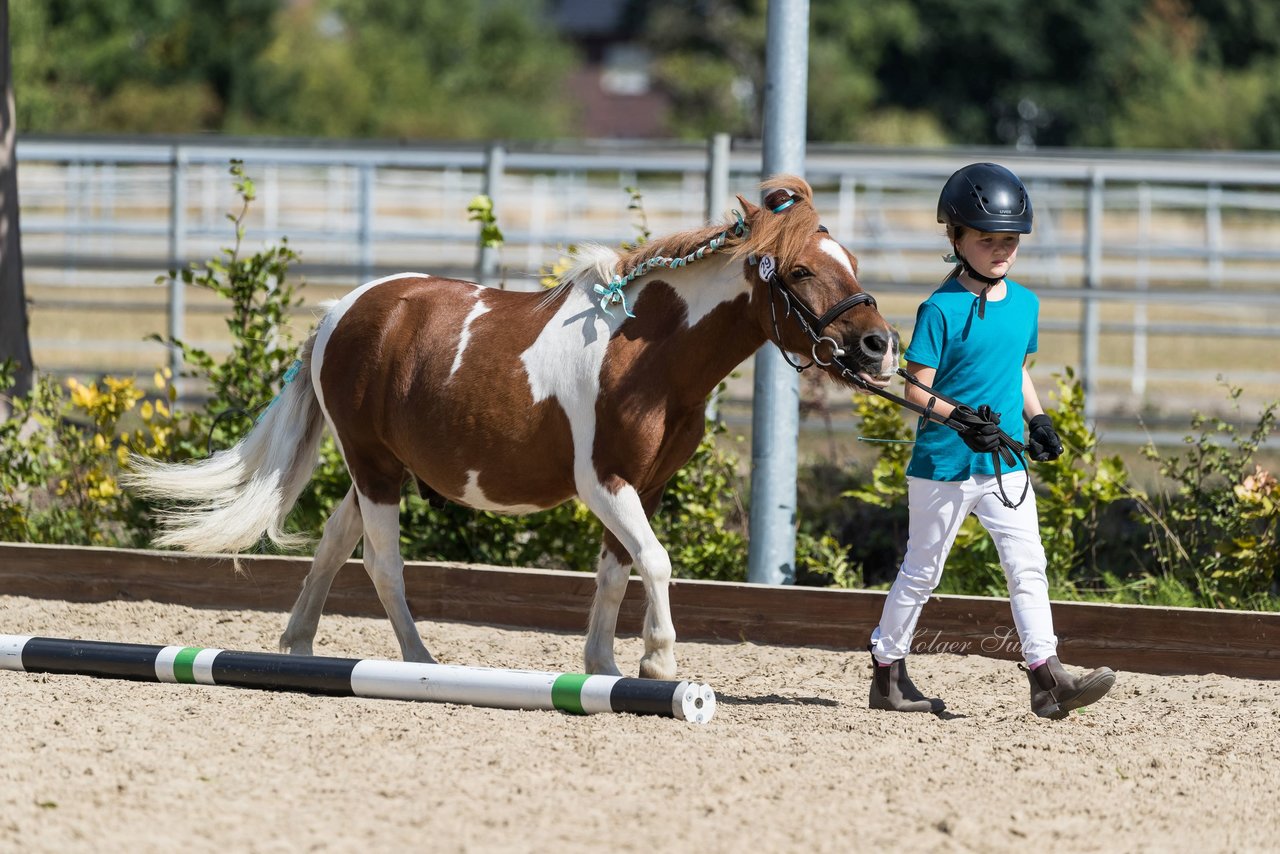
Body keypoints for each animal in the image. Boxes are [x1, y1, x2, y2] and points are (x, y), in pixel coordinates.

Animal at [124, 174, 896, 681]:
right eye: (801, 271)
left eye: (853, 263)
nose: (879, 347)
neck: (648, 355)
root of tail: (342, 311)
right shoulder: (604, 481)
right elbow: (654, 561)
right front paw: (657, 660)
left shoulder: (642, 484)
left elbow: (616, 570)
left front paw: (603, 664)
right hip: (372, 467)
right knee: (381, 562)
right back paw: (419, 662)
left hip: (378, 468)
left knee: (334, 546)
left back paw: (300, 649)